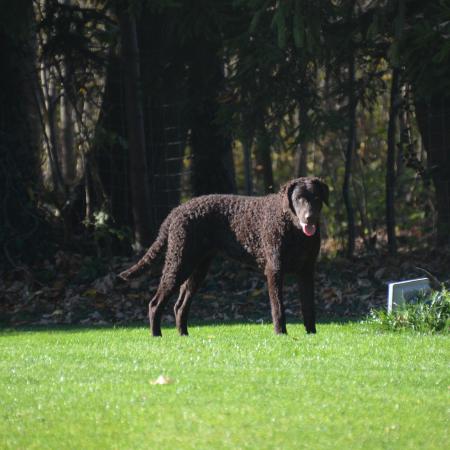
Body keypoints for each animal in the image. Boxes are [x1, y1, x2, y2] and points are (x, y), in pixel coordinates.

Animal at [119, 178, 328, 336]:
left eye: (316, 198)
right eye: (299, 198)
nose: (309, 217)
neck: (294, 231)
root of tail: (177, 210)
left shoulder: (307, 271)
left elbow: (309, 306)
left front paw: (312, 334)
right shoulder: (274, 270)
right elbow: (278, 307)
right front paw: (281, 334)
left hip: (197, 268)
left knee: (179, 306)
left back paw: (184, 335)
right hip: (178, 263)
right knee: (155, 303)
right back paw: (156, 335)